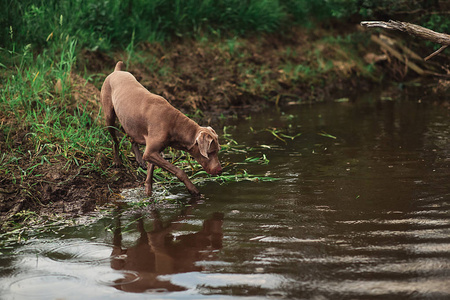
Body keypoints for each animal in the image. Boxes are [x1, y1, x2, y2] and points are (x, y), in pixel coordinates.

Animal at [101, 61, 222, 197]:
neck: (175, 124)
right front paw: (193, 190)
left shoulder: (153, 152)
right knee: (115, 139)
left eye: (218, 150)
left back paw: (139, 159)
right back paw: (117, 161)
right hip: (109, 115)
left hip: (131, 123)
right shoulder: (150, 152)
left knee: (131, 137)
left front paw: (148, 195)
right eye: (210, 152)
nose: (220, 170)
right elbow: (179, 171)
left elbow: (149, 176)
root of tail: (117, 71)